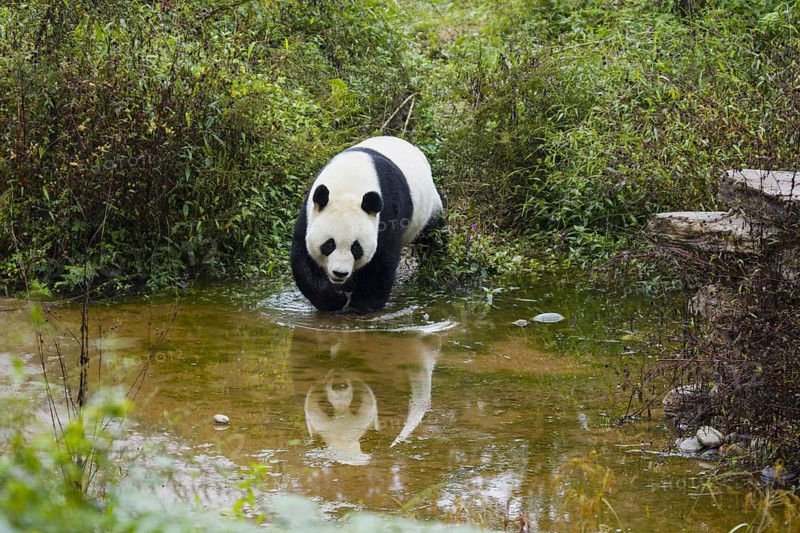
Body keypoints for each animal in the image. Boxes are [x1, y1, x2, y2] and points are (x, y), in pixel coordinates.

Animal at [291, 136, 444, 313]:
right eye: (329, 244)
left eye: (356, 247)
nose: (340, 273)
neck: (348, 184)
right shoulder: (310, 212)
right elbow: (303, 258)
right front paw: (335, 299)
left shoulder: (386, 213)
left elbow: (381, 262)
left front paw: (362, 306)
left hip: (428, 207)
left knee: (433, 236)